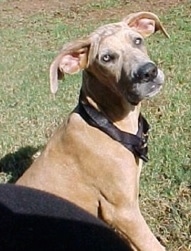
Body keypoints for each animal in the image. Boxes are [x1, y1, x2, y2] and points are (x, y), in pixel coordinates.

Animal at [16, 12, 169, 251]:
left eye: (137, 40)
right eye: (106, 58)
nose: (148, 72)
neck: (105, 123)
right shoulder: (121, 210)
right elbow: (152, 245)